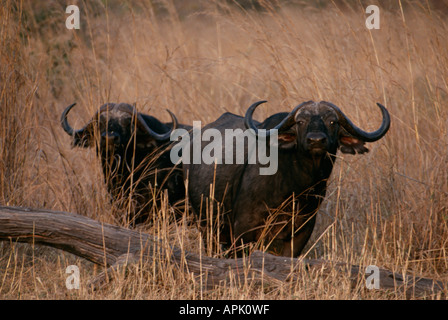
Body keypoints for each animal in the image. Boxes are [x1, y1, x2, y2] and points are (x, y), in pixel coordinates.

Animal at [184, 101, 390, 256]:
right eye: (300, 121)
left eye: (333, 122)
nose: (316, 140)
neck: (294, 186)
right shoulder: (243, 229)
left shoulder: (301, 231)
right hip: (207, 226)